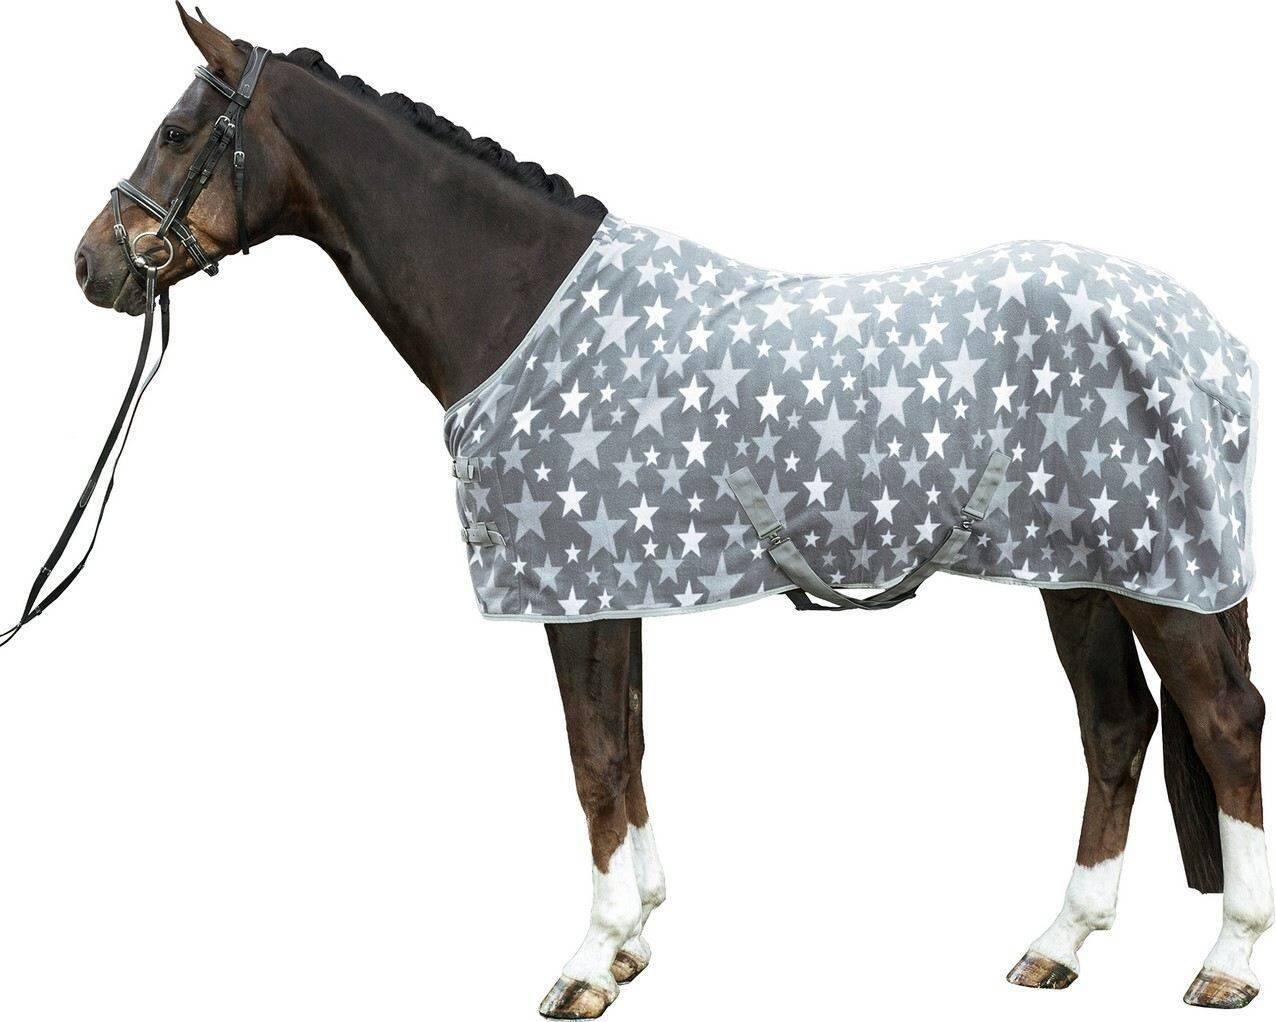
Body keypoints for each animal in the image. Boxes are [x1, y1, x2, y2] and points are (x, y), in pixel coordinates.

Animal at [67, 7, 1270, 1016]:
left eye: (176, 131)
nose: (92, 265)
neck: (520, 309)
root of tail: (1200, 336)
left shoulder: (575, 592)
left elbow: (594, 758)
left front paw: (587, 963)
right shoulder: (620, 585)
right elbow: (631, 744)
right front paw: (637, 937)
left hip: (1159, 578)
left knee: (1223, 722)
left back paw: (1225, 963)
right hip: (1084, 573)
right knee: (1117, 728)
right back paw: (1057, 945)